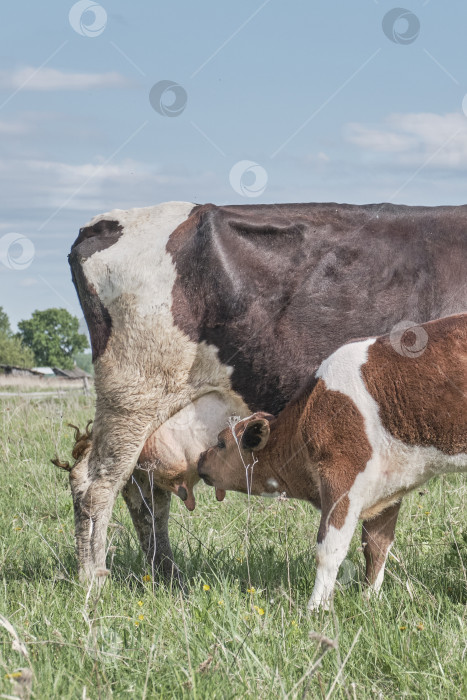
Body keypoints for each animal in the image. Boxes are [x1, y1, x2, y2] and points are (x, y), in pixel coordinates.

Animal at [197, 314, 467, 608]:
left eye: (221, 442)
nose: (200, 459)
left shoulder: (342, 476)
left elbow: (328, 550)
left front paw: (316, 607)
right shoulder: (389, 483)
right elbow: (376, 545)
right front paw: (369, 599)